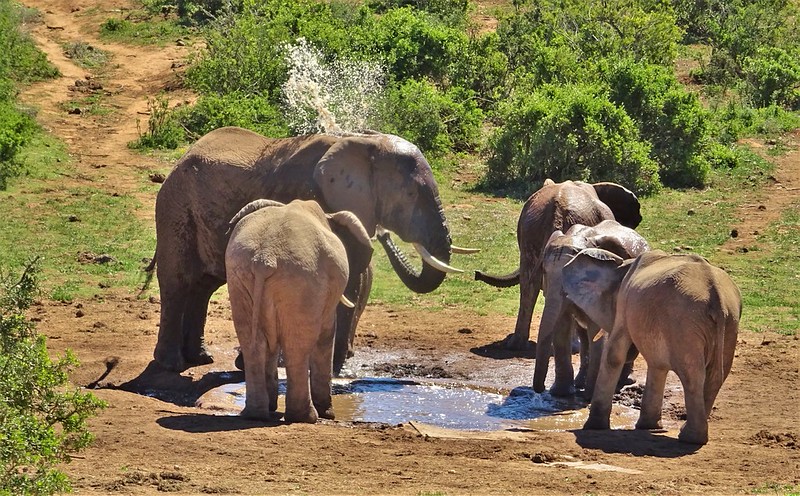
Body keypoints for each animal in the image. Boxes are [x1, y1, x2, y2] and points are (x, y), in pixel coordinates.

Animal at [148, 126, 472, 373]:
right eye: (411, 193)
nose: (384, 234)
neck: (361, 142)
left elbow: (351, 276)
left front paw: (333, 368)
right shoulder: (303, 194)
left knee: (204, 285)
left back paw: (201, 358)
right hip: (175, 206)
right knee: (178, 281)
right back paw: (171, 364)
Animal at [225, 199, 373, 423]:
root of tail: (265, 258)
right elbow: (326, 334)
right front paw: (328, 414)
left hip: (240, 278)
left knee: (254, 342)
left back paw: (256, 414)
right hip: (302, 281)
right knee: (298, 346)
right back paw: (306, 417)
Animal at [532, 220, 649, 397]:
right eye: (544, 272)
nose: (541, 389)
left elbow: (597, 330)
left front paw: (588, 396)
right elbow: (561, 326)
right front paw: (560, 393)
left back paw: (625, 381)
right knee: (583, 336)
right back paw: (580, 382)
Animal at [561, 249, 742, 444]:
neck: (623, 265)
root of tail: (716, 296)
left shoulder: (624, 303)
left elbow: (614, 354)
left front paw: (592, 427)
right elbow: (657, 365)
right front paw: (649, 427)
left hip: (685, 323)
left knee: (692, 375)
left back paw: (690, 438)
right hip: (729, 322)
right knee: (715, 376)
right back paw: (691, 434)